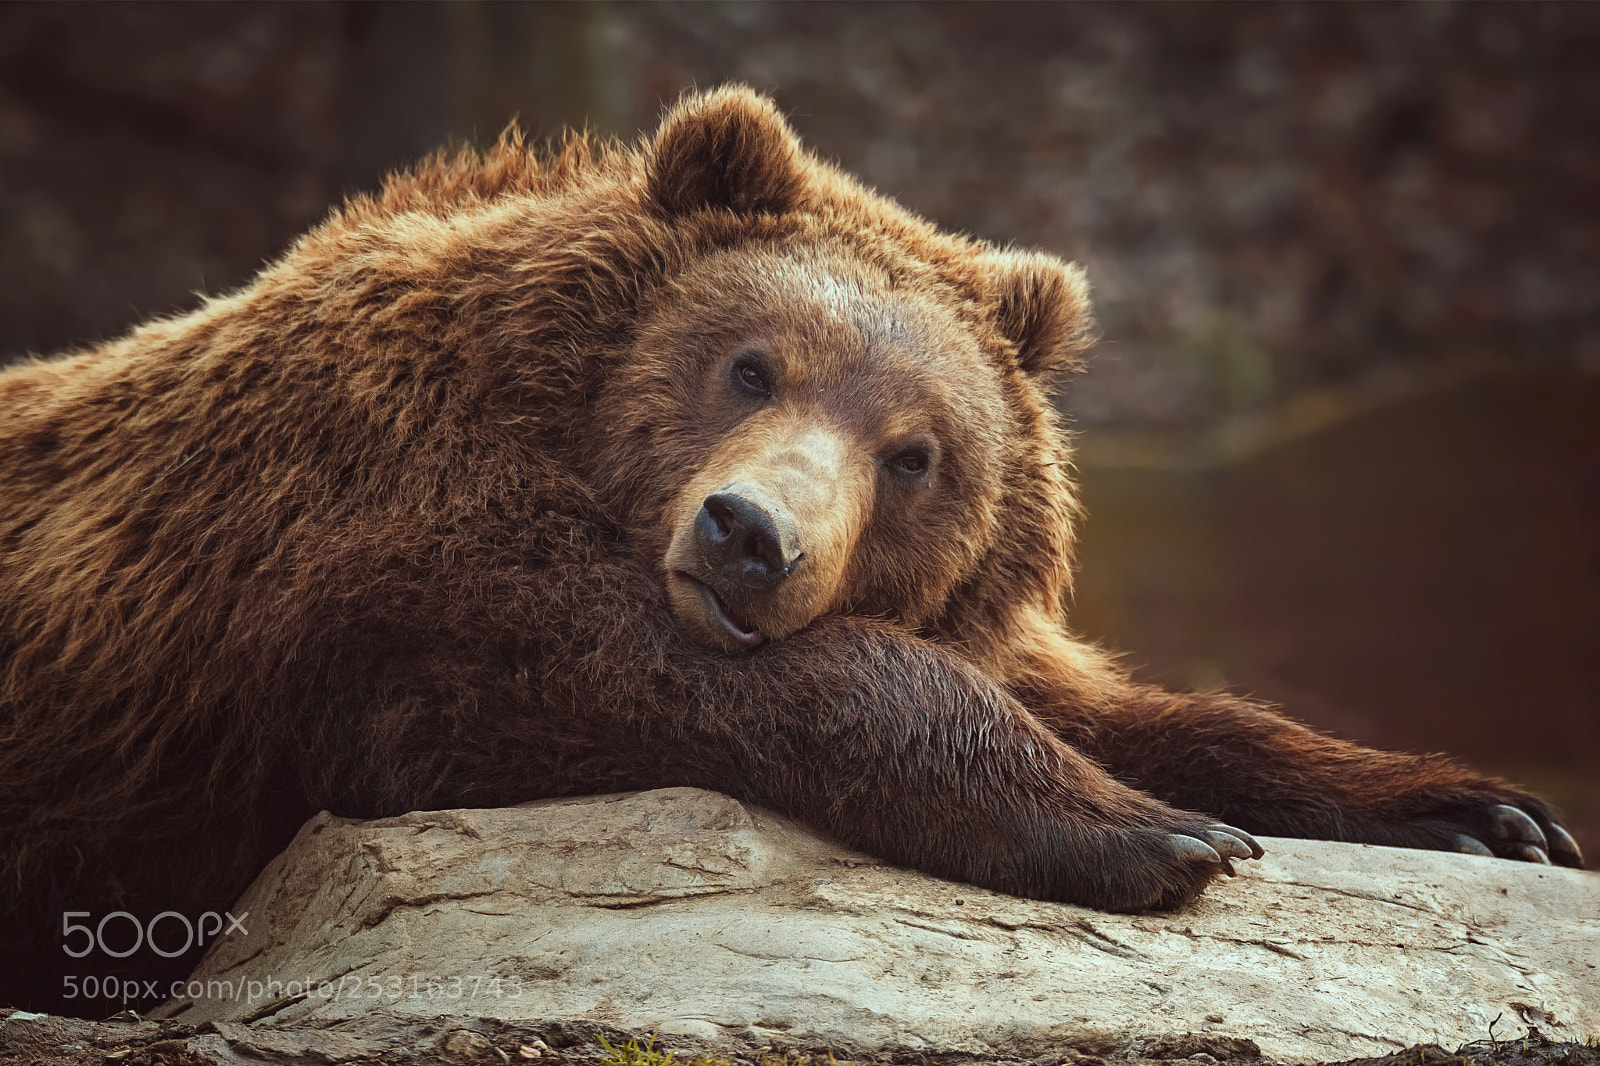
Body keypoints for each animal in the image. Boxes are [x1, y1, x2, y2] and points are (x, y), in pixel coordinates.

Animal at [0, 86, 1582, 1017]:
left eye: (915, 452)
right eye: (752, 363)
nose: (751, 535)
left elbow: (1139, 703)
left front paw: (1481, 810)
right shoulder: (342, 550)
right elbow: (551, 665)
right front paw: (1143, 828)